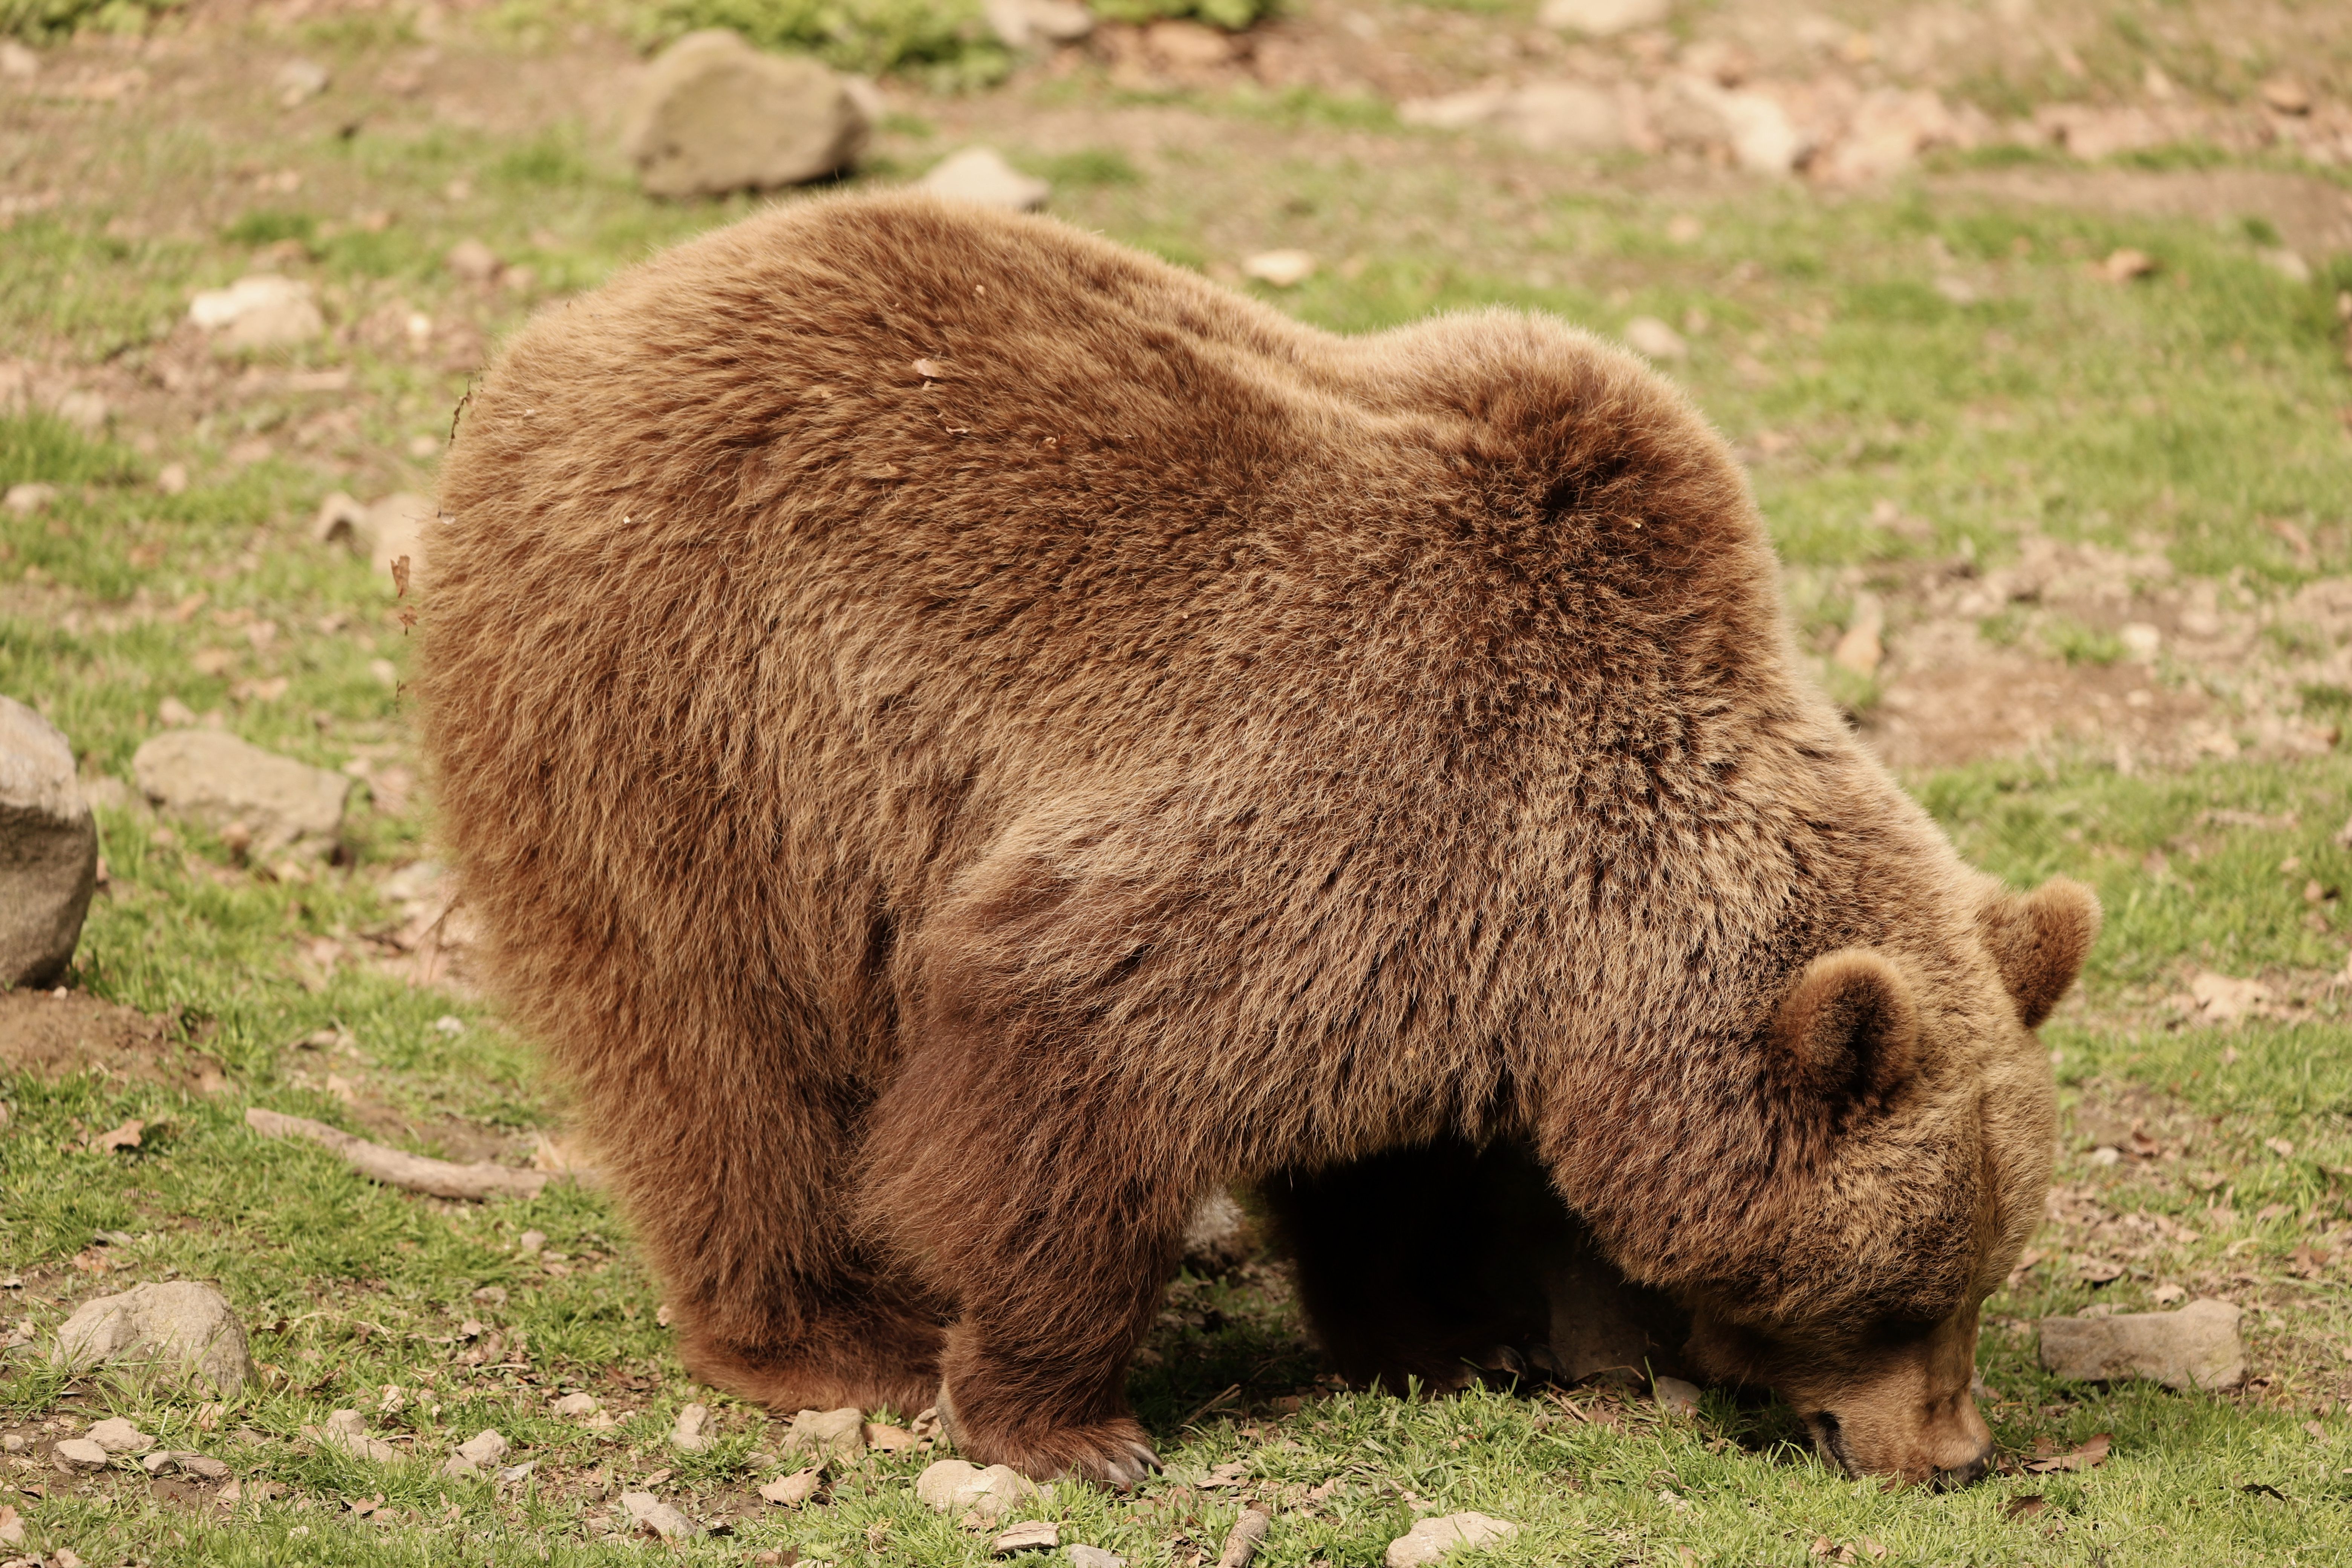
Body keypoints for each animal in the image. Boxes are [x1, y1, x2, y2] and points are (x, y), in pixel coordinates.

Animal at [417, 190, 2098, 1489]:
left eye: (1981, 1271)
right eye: (1902, 1291)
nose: (1956, 1453)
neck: (1584, 921)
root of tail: (580, 323)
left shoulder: (1455, 946)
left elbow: (1397, 1164)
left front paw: (1464, 1335)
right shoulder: (1349, 795)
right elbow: (1071, 1045)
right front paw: (1069, 1424)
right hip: (698, 707)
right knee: (726, 1050)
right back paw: (826, 1333)